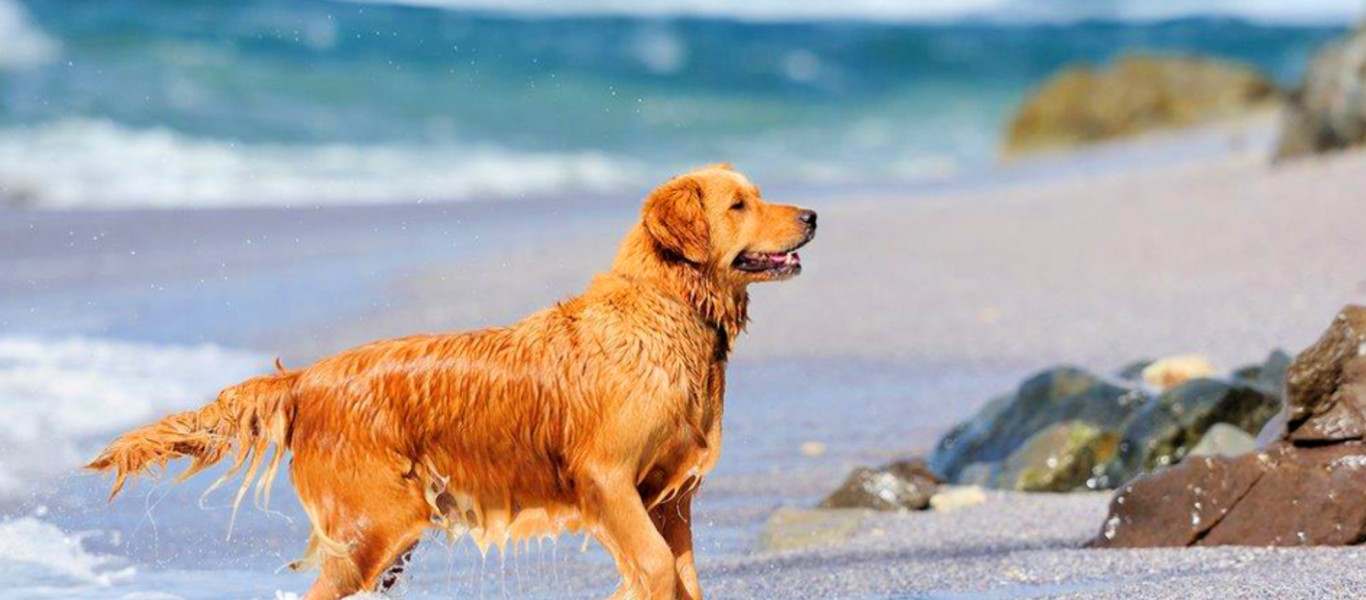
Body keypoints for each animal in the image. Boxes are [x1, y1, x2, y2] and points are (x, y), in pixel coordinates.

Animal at [90, 164, 814, 600]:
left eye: (756, 194)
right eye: (739, 204)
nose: (811, 215)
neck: (668, 311)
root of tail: (306, 377)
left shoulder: (672, 497)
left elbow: (684, 574)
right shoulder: (606, 480)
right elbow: (657, 569)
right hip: (377, 526)